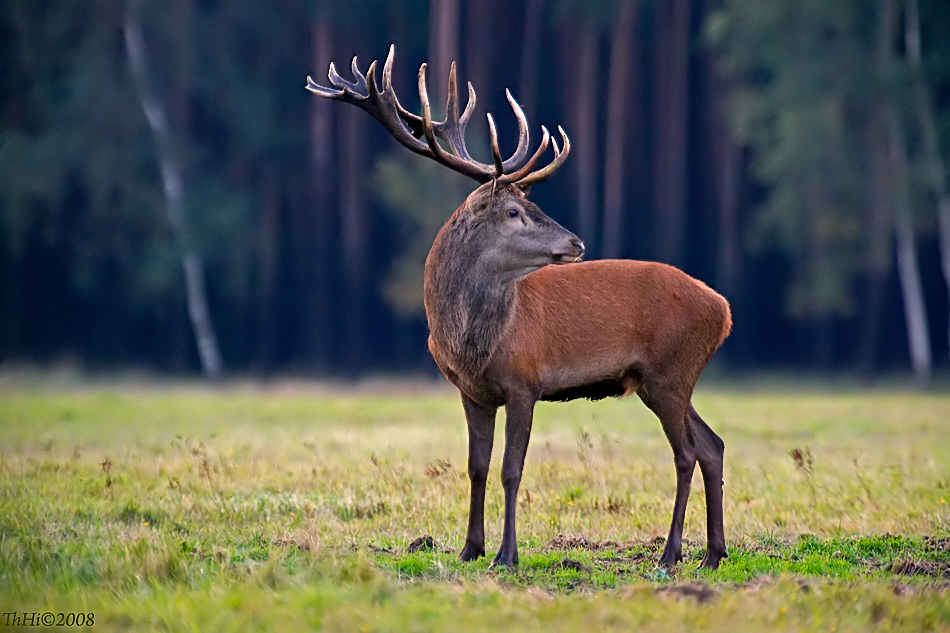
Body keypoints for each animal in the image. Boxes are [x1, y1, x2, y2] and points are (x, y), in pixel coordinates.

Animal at [308, 44, 732, 568]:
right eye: (513, 212)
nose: (576, 242)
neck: (473, 341)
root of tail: (724, 310)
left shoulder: (525, 381)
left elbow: (512, 469)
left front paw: (506, 554)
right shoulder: (471, 391)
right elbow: (476, 466)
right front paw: (470, 547)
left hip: (670, 372)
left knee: (686, 453)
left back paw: (671, 554)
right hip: (665, 380)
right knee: (712, 445)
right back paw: (713, 553)